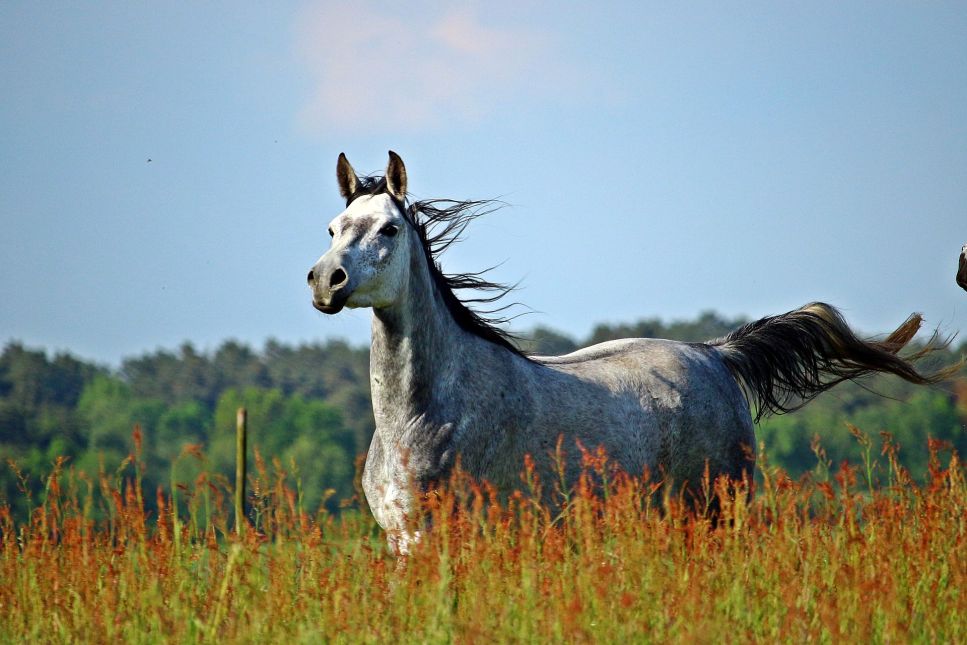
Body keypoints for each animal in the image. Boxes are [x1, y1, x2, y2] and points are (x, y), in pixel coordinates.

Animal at [307, 151, 946, 553]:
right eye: (334, 227)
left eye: (389, 229)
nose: (326, 281)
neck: (422, 416)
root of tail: (714, 354)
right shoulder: (403, 542)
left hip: (714, 514)